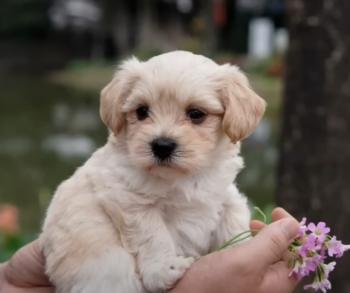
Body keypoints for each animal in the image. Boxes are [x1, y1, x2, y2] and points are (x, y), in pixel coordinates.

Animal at [40, 50, 266, 292]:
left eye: (196, 113)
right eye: (142, 111)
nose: (162, 146)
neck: (185, 176)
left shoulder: (223, 195)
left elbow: (233, 218)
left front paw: (239, 243)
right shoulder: (129, 199)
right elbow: (154, 235)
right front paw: (165, 270)